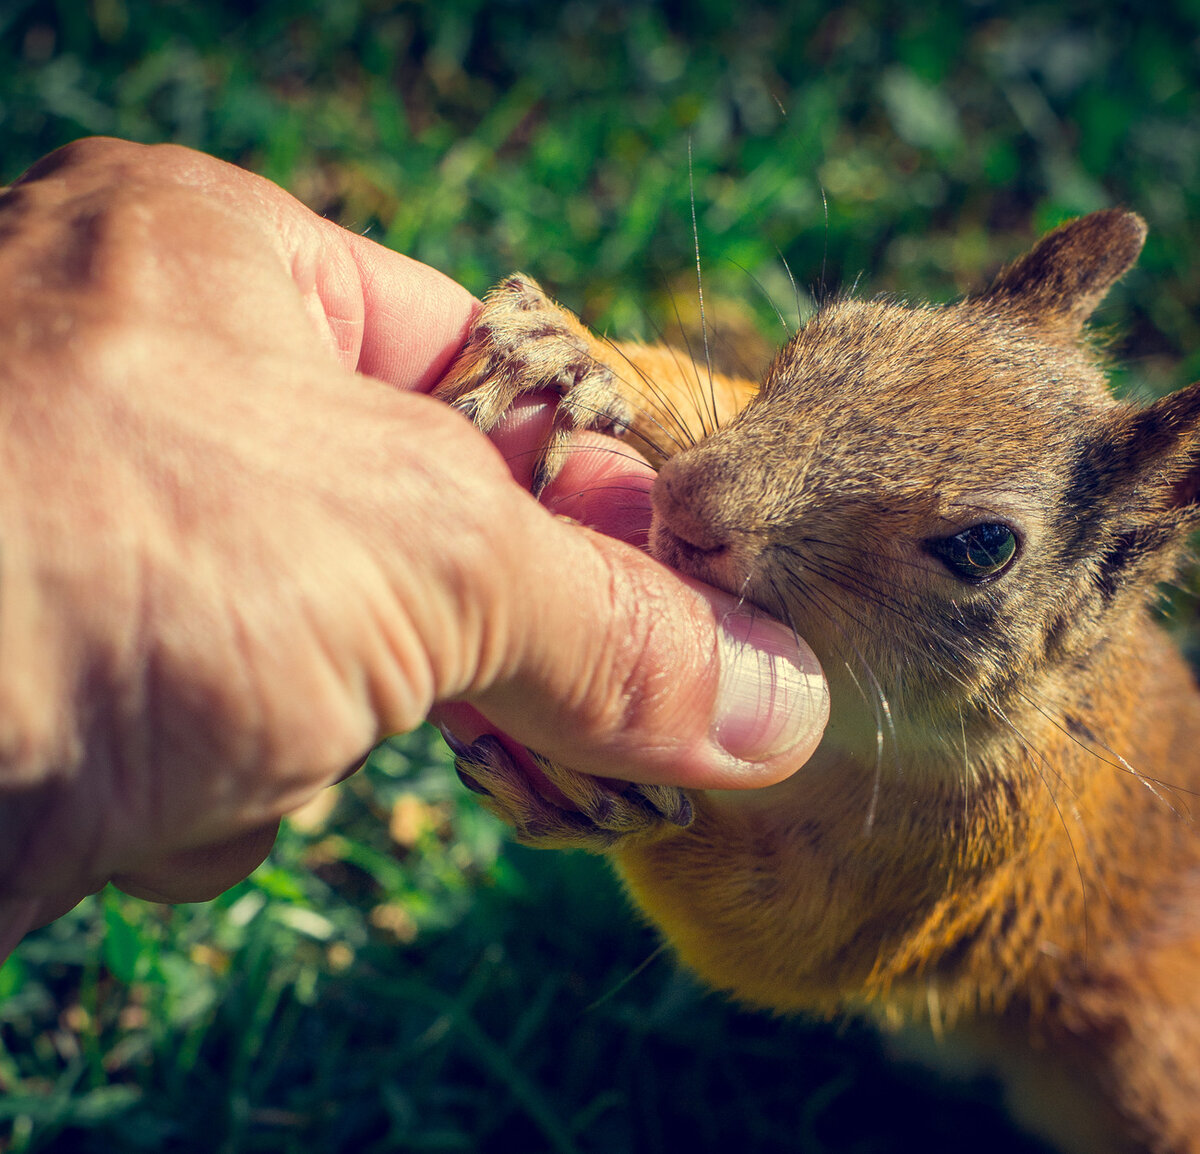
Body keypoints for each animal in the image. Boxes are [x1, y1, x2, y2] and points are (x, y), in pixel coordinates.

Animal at [436, 211, 1200, 1151]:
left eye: (985, 546)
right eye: (823, 335)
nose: (688, 502)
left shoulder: (967, 859)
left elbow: (784, 942)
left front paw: (621, 807)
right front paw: (572, 349)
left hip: (1138, 1056)